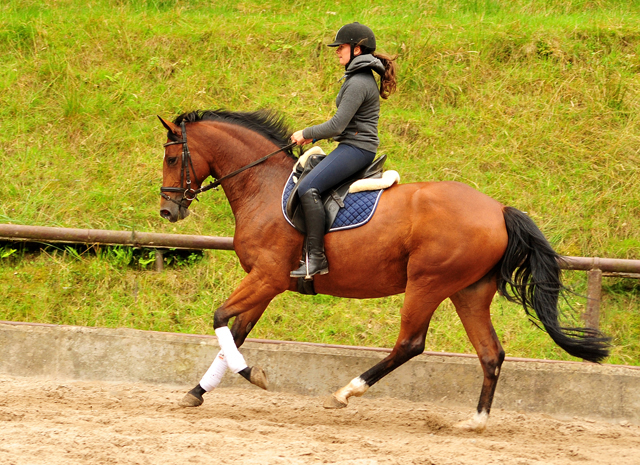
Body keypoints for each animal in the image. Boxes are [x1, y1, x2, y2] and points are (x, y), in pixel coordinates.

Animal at [158, 109, 608, 432]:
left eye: (171, 157)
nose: (168, 210)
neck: (263, 187)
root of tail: (498, 209)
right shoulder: (266, 283)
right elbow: (233, 334)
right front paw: (197, 392)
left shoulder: (266, 278)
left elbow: (220, 319)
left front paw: (252, 374)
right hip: (469, 291)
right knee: (490, 353)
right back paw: (475, 422)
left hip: (427, 283)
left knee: (410, 344)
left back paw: (344, 393)